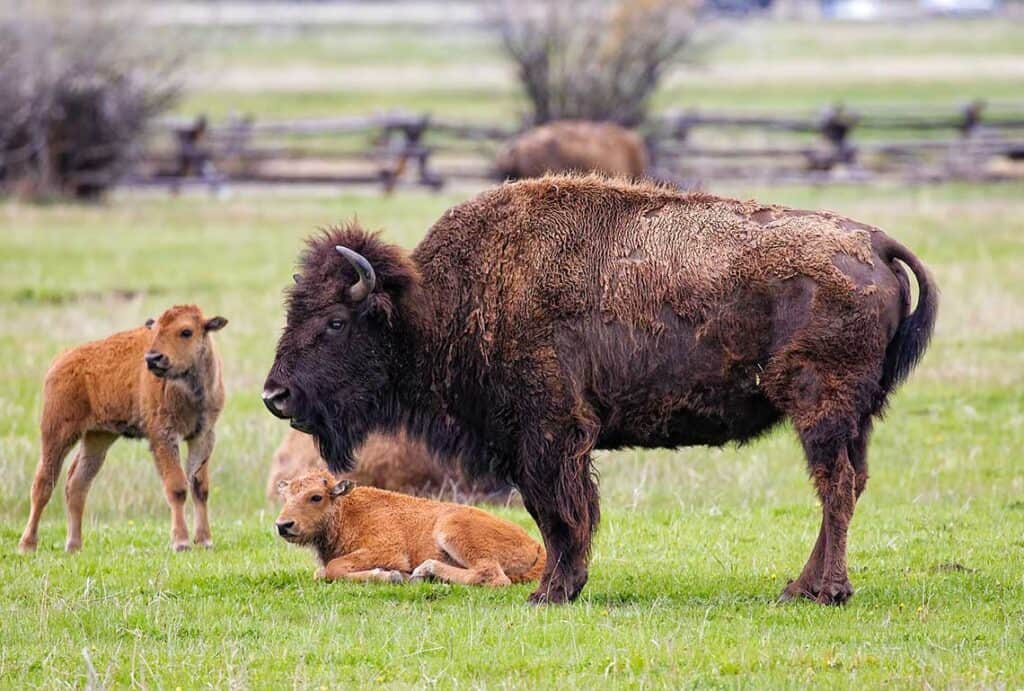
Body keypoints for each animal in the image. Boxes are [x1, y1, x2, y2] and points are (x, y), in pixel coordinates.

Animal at [263, 175, 937, 605]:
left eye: (335, 321)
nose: (276, 397)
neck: (438, 300)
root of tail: (873, 242)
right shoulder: (541, 444)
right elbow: (562, 513)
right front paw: (564, 586)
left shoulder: (548, 436)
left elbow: (560, 512)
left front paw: (552, 592)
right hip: (854, 417)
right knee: (849, 483)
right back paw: (798, 588)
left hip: (820, 407)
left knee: (835, 486)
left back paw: (826, 592)